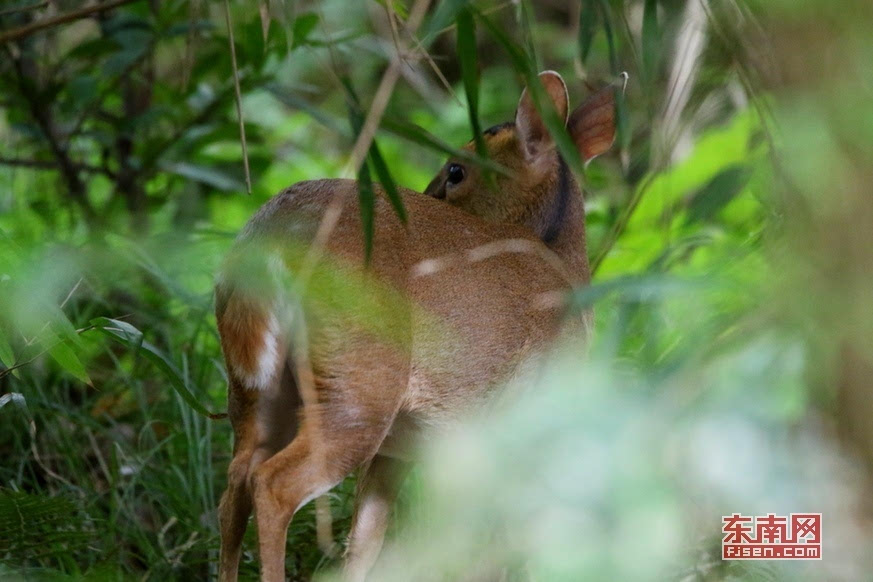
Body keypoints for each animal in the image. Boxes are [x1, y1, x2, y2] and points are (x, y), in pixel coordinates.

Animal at [214, 70, 616, 580]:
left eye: (456, 171)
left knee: (236, 482)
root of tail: (272, 236)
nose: (428, 192)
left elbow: (367, 541)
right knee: (272, 483)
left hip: (255, 388)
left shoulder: (405, 448)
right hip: (360, 381)